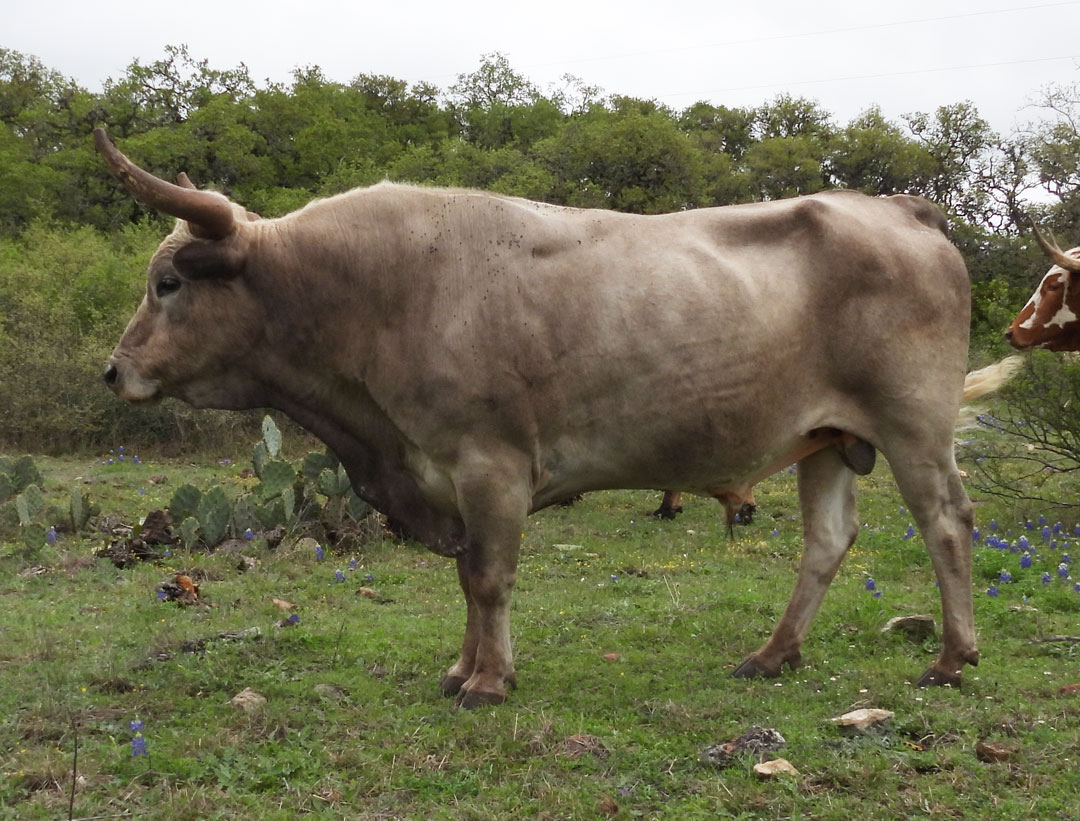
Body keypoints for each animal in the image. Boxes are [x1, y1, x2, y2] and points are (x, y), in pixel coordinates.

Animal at [95, 128, 1010, 704]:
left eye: (168, 282)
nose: (114, 369)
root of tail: (899, 208)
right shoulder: (448, 474)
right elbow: (468, 580)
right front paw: (462, 669)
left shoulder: (489, 464)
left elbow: (488, 577)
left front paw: (487, 681)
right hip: (826, 437)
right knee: (827, 541)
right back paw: (772, 654)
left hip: (913, 425)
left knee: (946, 521)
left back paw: (953, 657)